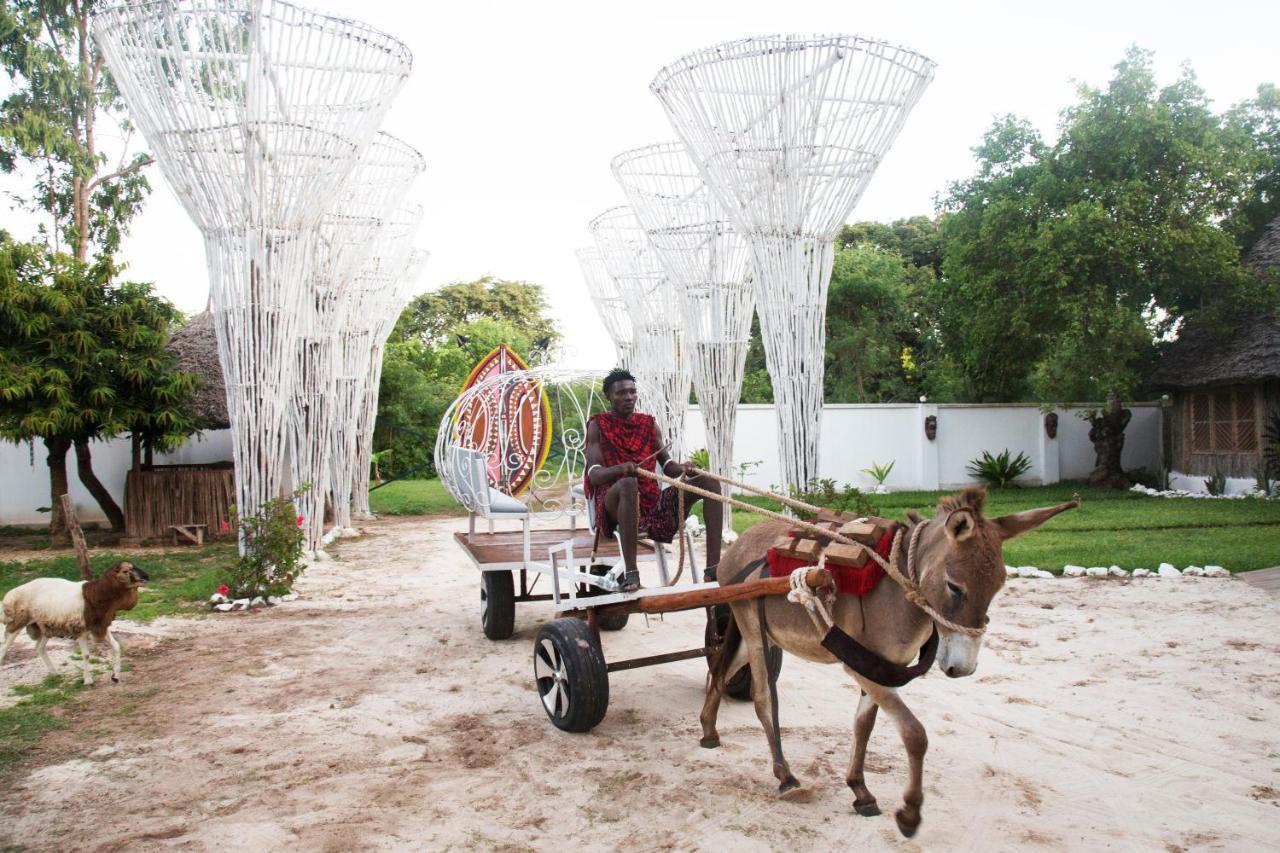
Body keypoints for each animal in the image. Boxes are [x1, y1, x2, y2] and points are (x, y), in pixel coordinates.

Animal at [1, 558, 149, 686]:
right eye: (125, 571)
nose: (146, 577)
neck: (93, 596)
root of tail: (11, 595)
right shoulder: (80, 630)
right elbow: (86, 655)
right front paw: (88, 680)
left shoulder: (101, 626)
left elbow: (116, 646)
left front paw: (116, 676)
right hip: (18, 623)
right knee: (4, 647)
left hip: (46, 626)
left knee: (39, 647)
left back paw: (54, 673)